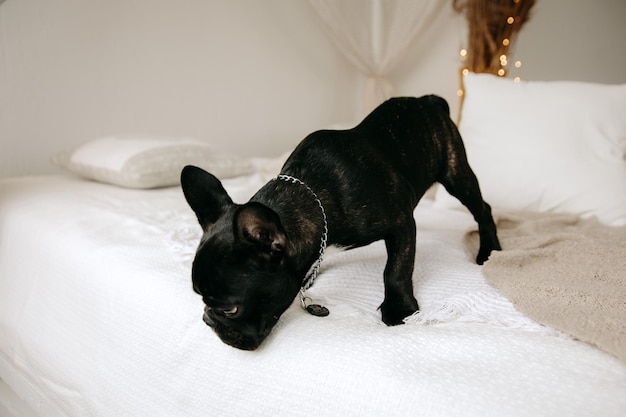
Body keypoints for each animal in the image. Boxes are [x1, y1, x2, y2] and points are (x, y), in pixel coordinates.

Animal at [179, 96, 498, 350]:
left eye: (230, 309)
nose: (206, 319)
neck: (314, 198)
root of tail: (428, 100)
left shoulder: (401, 224)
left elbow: (396, 269)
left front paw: (399, 309)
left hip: (456, 173)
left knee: (482, 209)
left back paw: (490, 250)